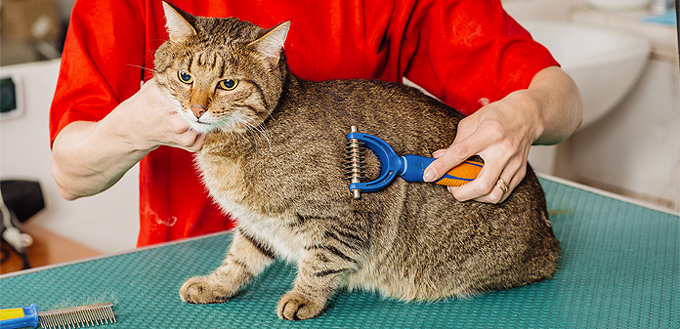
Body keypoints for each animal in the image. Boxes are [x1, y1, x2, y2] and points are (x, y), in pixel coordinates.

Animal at [155, 1, 564, 320]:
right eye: (185, 76)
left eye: (228, 84)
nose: (196, 109)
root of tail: (551, 241)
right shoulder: (258, 223)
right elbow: (240, 259)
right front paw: (216, 284)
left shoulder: (339, 219)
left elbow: (321, 262)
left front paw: (304, 298)